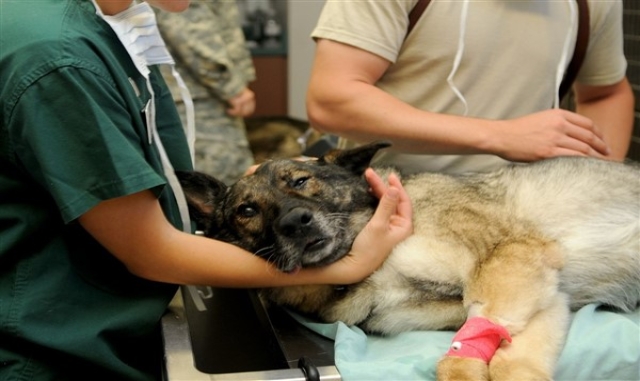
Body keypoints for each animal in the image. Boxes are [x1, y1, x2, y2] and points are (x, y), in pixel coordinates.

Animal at [178, 142, 640, 380]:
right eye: (247, 211)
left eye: (301, 180)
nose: (295, 222)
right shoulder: (543, 295)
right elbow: (509, 356)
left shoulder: (511, 259)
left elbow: (476, 353)